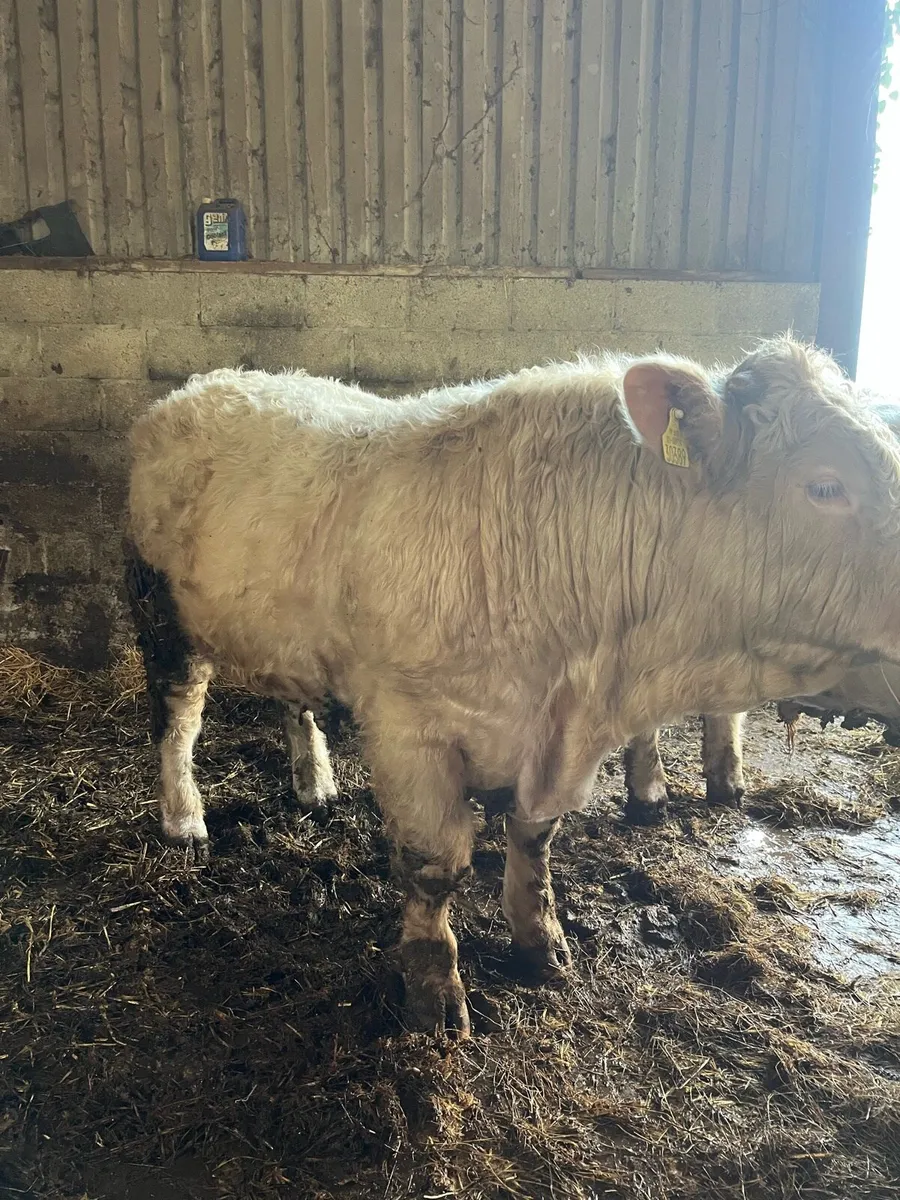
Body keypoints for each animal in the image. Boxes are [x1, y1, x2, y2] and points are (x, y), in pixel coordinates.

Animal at [125, 335, 900, 1038]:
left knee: (296, 702)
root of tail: (211, 382)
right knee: (177, 718)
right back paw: (184, 820)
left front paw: (540, 942)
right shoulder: (409, 729)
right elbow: (435, 867)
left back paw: (314, 782)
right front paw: (436, 995)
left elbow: (534, 838)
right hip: (161, 613)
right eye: (825, 485)